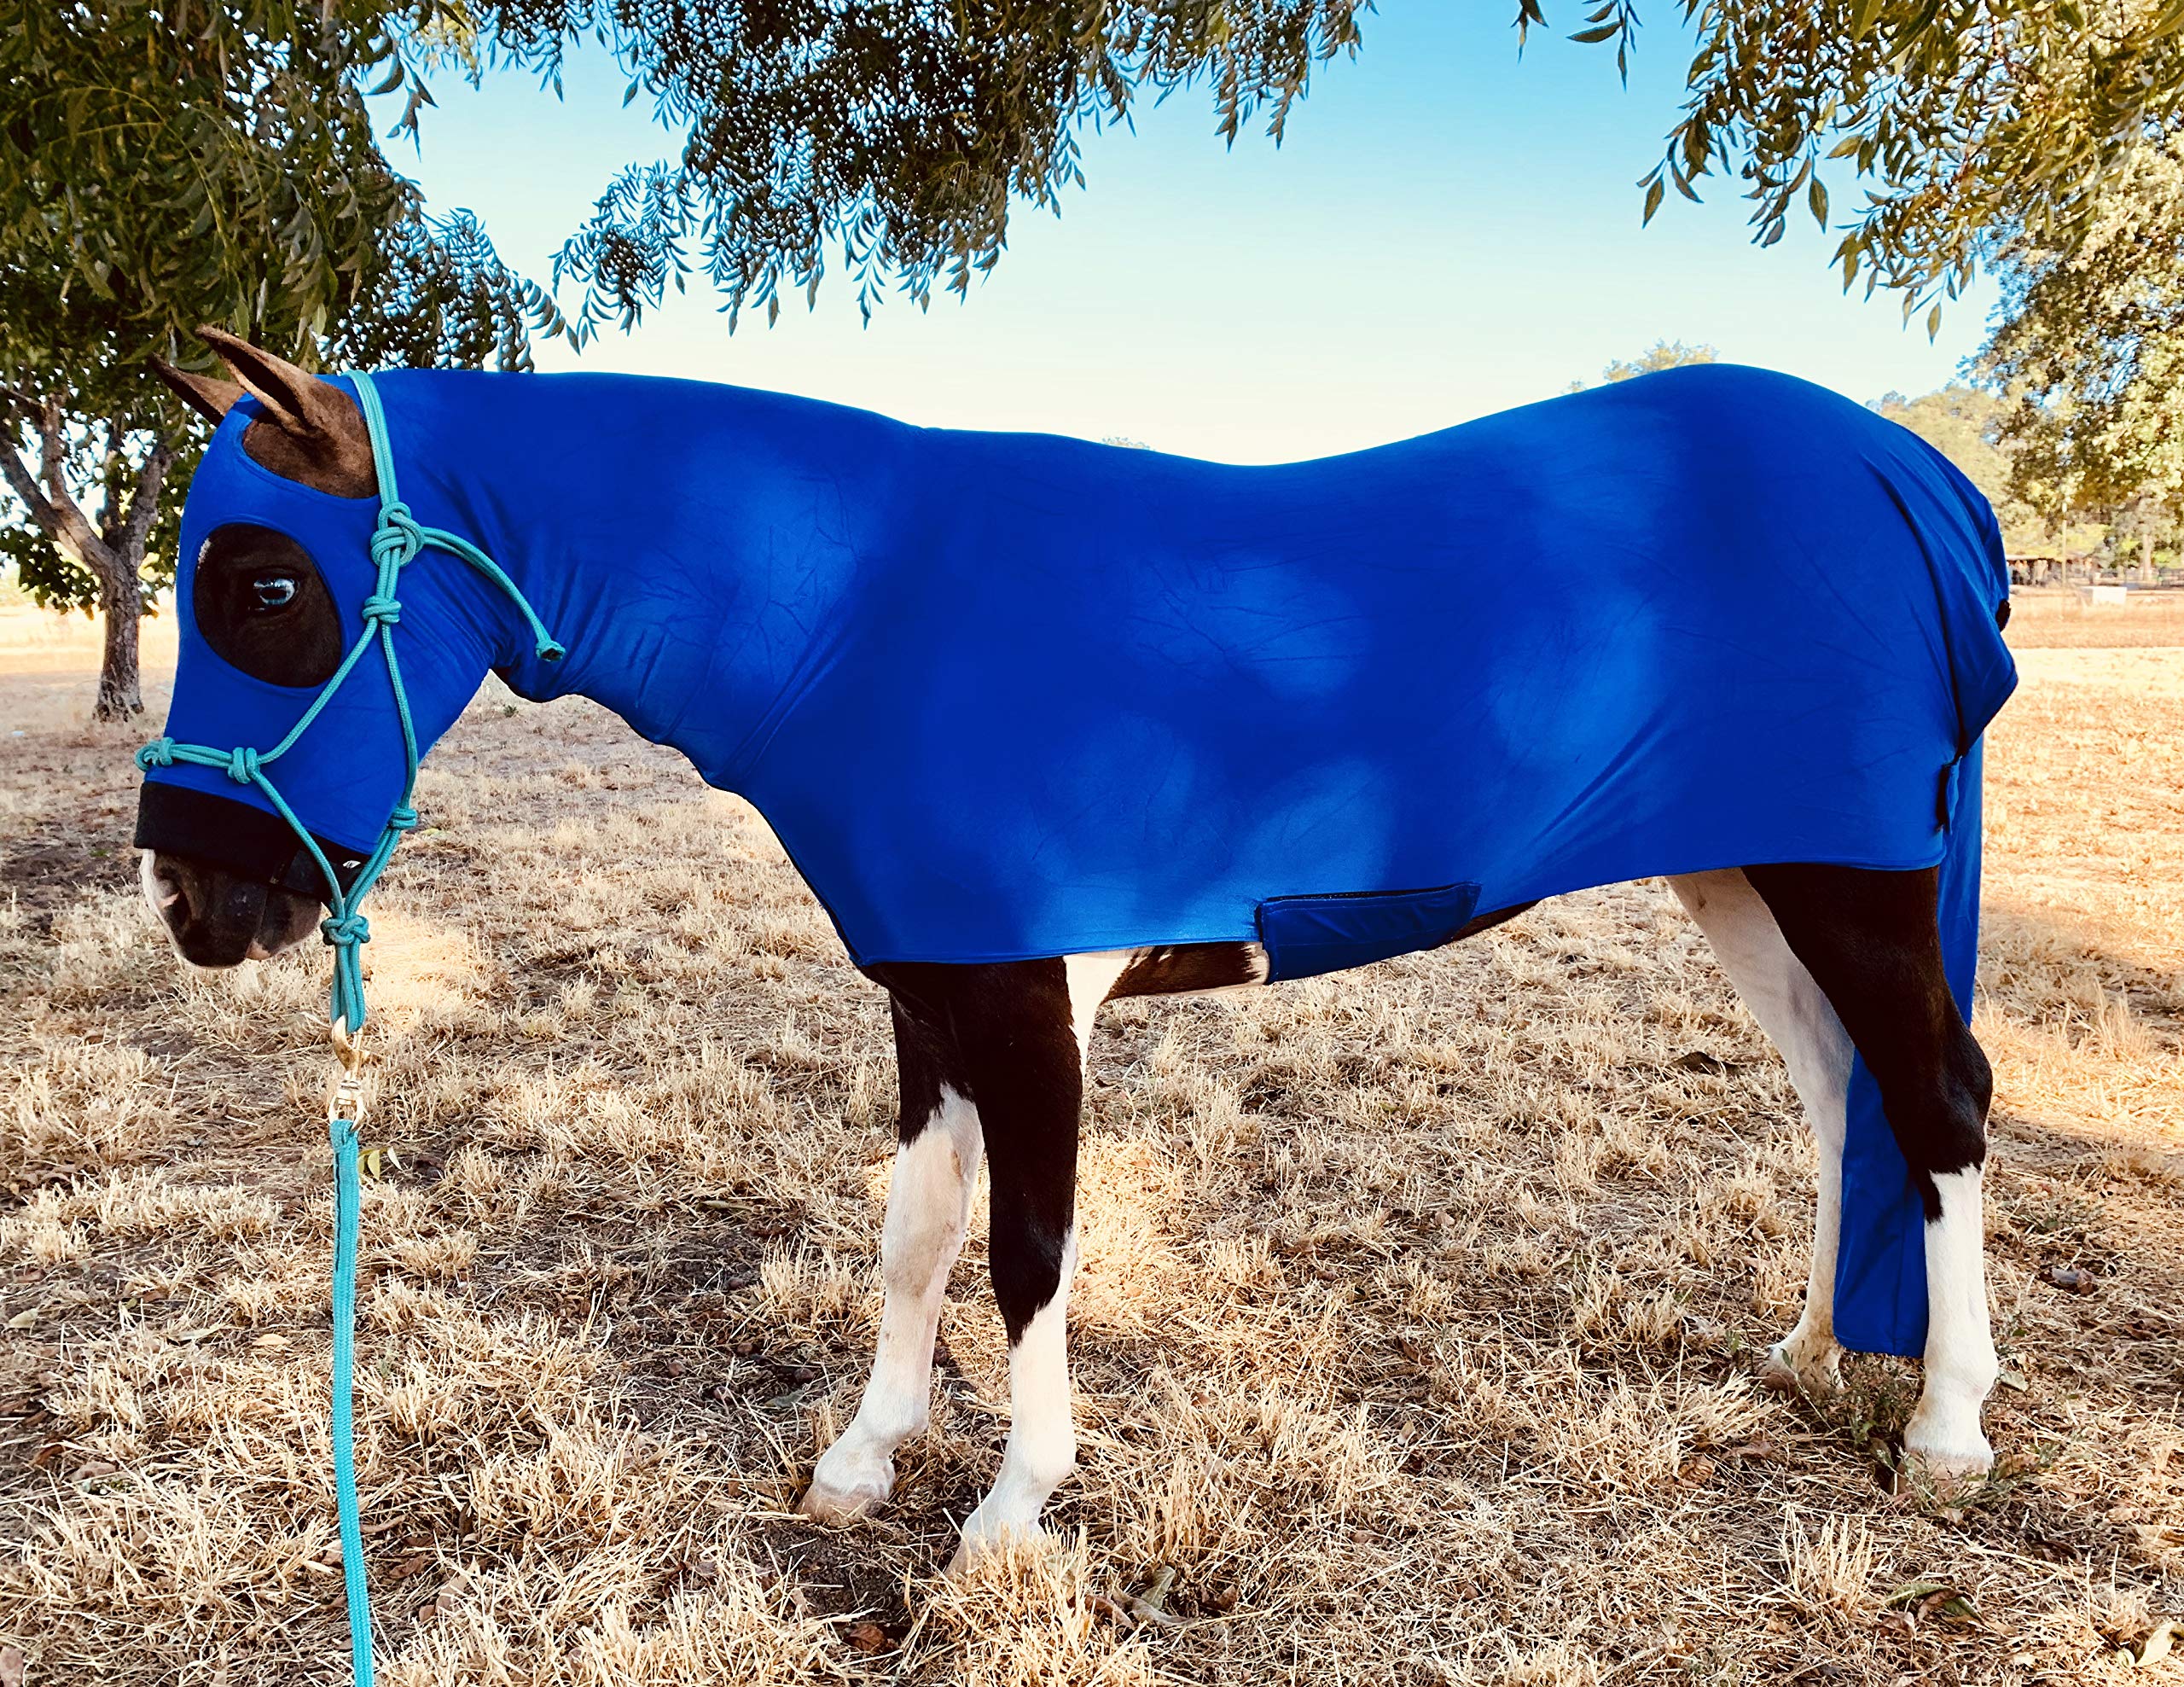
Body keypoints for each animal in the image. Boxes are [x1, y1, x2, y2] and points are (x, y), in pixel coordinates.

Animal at [138, 330, 2013, 1573]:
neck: (866, 608)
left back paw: (1940, 1430)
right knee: (1836, 1091)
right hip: (1737, 874)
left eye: (266, 584)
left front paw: (1009, 1504)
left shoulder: (1032, 1013)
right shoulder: (931, 1001)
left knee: (1935, 1102)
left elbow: (1027, 1254)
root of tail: (1902, 469)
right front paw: (862, 1458)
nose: (196, 908)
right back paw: (1803, 1351)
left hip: (1848, 877)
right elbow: (911, 1236)